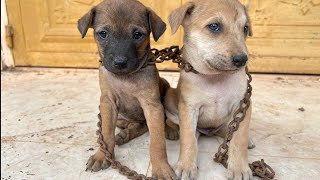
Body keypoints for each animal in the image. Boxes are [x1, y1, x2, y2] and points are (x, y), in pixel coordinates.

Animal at [78, 0, 178, 179]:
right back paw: (125, 133)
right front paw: (102, 156)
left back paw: (169, 128)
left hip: (166, 90)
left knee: (157, 122)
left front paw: (161, 168)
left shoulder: (152, 107)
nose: (120, 62)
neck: (125, 78)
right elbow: (106, 134)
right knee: (136, 125)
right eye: (103, 33)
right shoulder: (107, 103)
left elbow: (157, 141)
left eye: (137, 35)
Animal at [165, 0, 252, 179]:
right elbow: (188, 140)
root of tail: (209, 131)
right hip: (170, 97)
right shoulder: (189, 108)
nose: (242, 60)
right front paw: (186, 165)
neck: (215, 78)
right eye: (214, 26)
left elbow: (239, 139)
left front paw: (239, 168)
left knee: (229, 131)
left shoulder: (244, 106)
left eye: (245, 28)